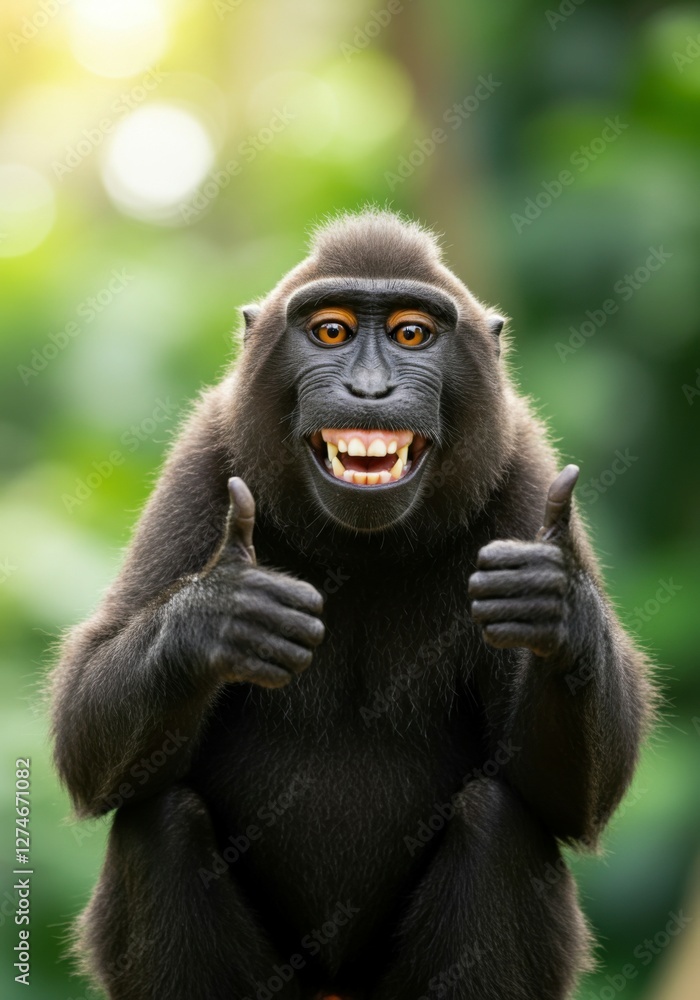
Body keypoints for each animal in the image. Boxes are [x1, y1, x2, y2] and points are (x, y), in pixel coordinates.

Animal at [51, 209, 653, 1000]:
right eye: (331, 332)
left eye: (411, 334)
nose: (369, 390)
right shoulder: (205, 462)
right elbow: (87, 740)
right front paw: (220, 614)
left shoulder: (525, 473)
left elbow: (570, 801)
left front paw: (559, 605)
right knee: (159, 820)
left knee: (500, 819)